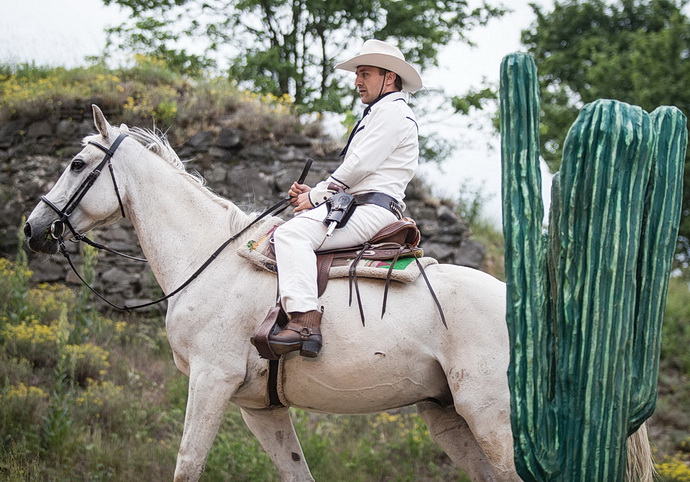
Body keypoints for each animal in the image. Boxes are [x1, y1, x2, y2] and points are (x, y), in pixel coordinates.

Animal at [24, 106, 652, 482]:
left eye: (76, 162)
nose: (33, 227)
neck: (210, 262)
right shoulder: (260, 409)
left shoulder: (210, 381)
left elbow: (186, 464)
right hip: (450, 418)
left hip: (494, 417)